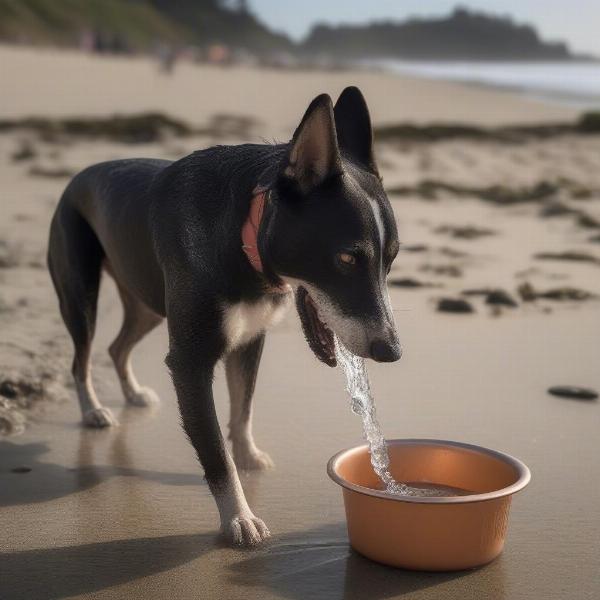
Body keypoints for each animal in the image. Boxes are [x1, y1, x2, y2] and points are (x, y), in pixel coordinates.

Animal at [48, 86, 404, 548]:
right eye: (347, 258)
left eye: (390, 259)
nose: (391, 351)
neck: (242, 233)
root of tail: (78, 176)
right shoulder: (190, 363)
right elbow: (215, 450)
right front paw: (239, 517)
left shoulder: (249, 340)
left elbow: (243, 409)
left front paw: (248, 455)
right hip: (81, 294)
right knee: (83, 355)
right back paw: (93, 410)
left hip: (146, 302)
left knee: (117, 345)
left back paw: (132, 393)